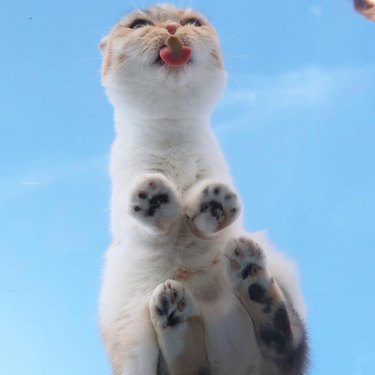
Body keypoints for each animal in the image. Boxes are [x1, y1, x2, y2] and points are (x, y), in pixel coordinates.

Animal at [98, 3, 310, 375]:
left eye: (192, 22)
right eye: (139, 25)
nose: (171, 28)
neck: (170, 133)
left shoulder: (214, 172)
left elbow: (207, 217)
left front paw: (213, 204)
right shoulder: (127, 217)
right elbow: (155, 225)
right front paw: (155, 199)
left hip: (282, 285)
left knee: (282, 336)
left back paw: (249, 277)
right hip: (136, 340)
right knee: (184, 363)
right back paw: (175, 311)